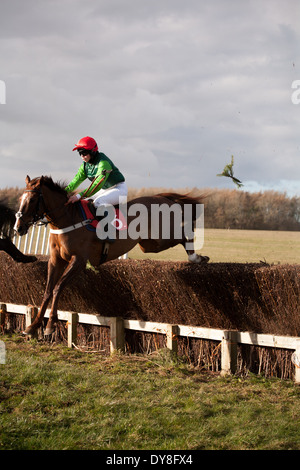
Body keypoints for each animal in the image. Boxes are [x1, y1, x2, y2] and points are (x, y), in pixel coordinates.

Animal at [14, 174, 209, 336]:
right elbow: (47, 290)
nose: (18, 228)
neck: (67, 219)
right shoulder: (56, 260)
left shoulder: (79, 260)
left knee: (184, 235)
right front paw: (33, 326)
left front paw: (50, 325)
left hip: (162, 236)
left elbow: (58, 287)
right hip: (149, 244)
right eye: (20, 199)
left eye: (32, 199)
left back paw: (198, 257)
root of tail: (162, 197)